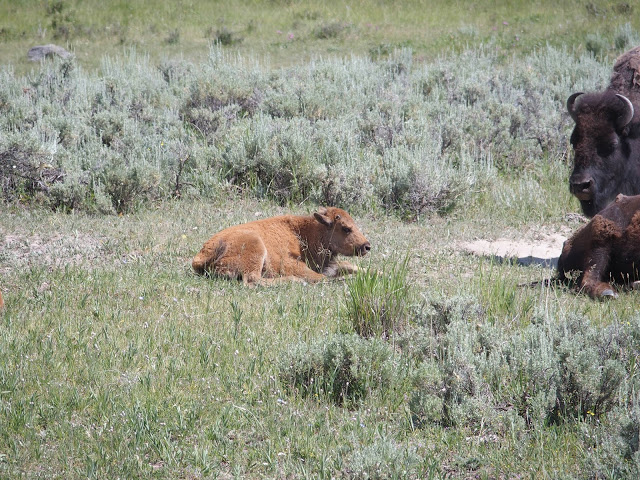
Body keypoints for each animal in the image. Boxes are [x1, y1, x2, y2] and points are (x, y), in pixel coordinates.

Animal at [192, 206, 371, 285]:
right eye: (346, 228)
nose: (367, 246)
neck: (307, 232)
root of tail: (202, 254)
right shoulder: (293, 264)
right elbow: (320, 277)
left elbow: (346, 265)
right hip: (256, 248)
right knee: (253, 279)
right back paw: (295, 281)